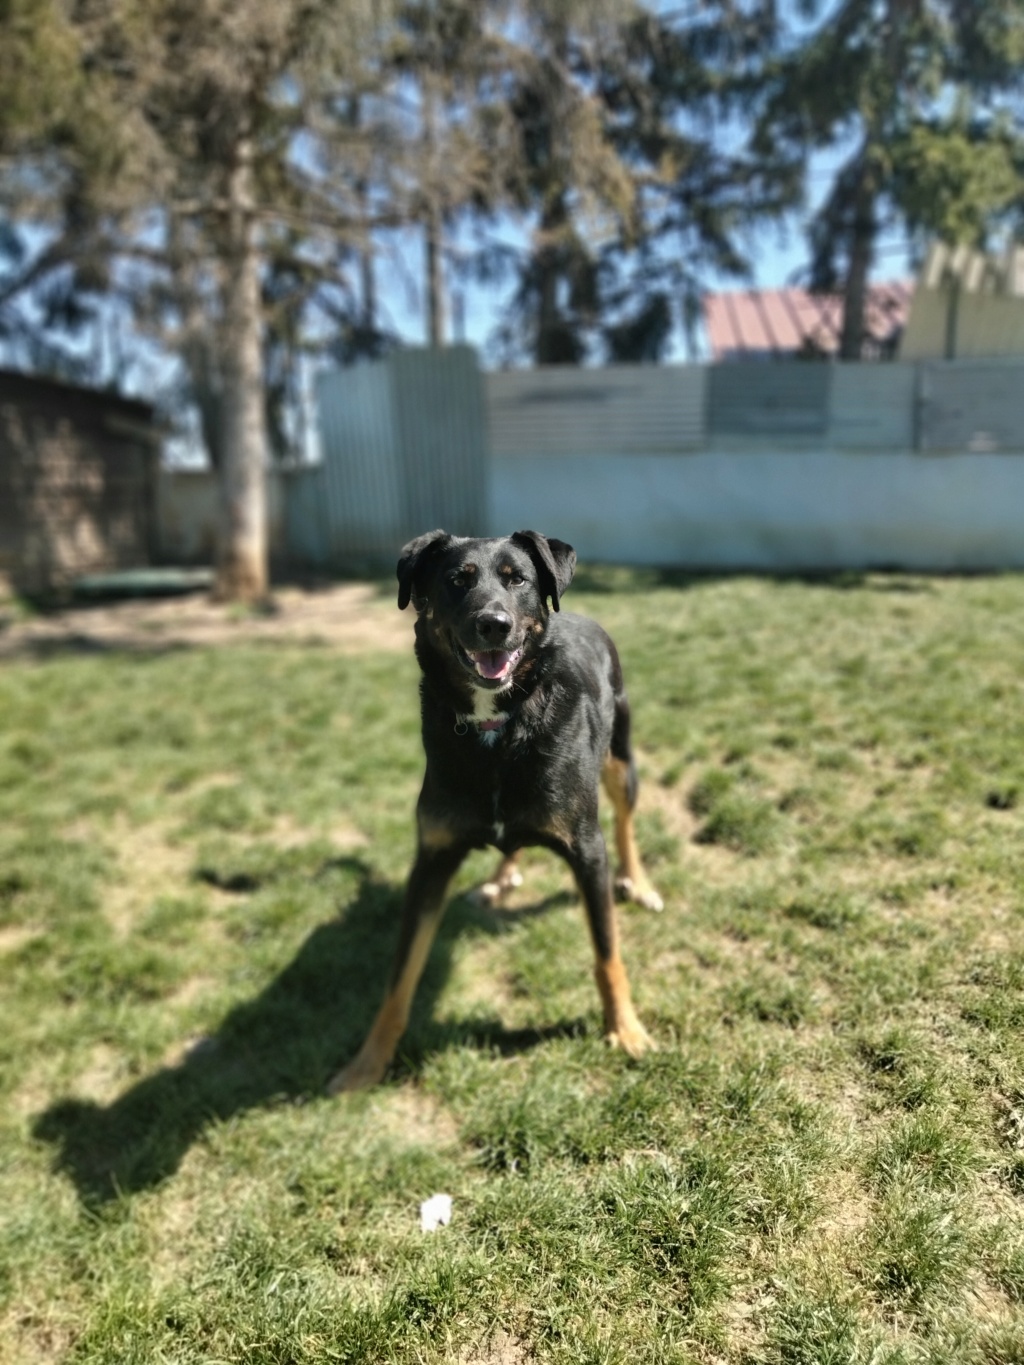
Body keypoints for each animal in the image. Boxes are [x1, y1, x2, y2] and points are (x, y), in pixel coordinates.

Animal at [330, 526, 666, 1092]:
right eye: (456, 580)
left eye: (518, 579)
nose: (494, 624)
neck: (499, 725)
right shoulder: (432, 859)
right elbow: (399, 977)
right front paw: (366, 1064)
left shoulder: (587, 850)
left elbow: (608, 954)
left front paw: (626, 1030)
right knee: (515, 843)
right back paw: (499, 878)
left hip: (621, 760)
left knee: (625, 821)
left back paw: (637, 882)